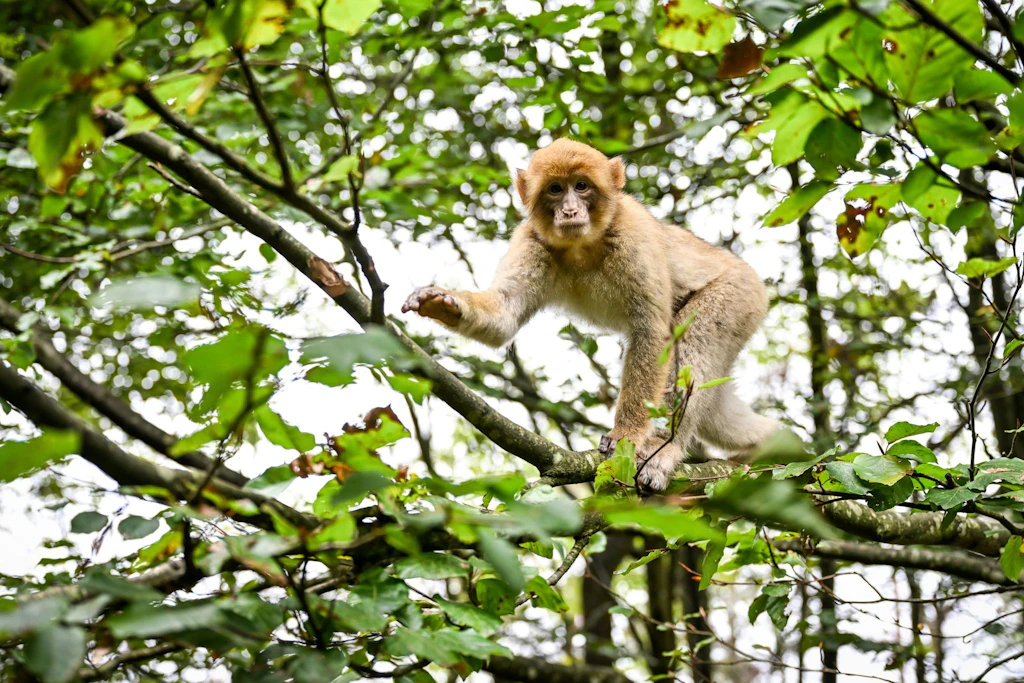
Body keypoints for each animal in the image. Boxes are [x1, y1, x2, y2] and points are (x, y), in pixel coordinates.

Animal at [402, 138, 777, 490]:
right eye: (556, 189)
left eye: (581, 186)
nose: (570, 210)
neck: (582, 244)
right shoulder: (531, 240)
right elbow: (504, 315)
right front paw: (442, 302)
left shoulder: (634, 236)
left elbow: (652, 333)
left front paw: (627, 435)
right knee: (714, 407)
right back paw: (768, 443)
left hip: (738, 296)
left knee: (694, 345)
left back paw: (666, 449)